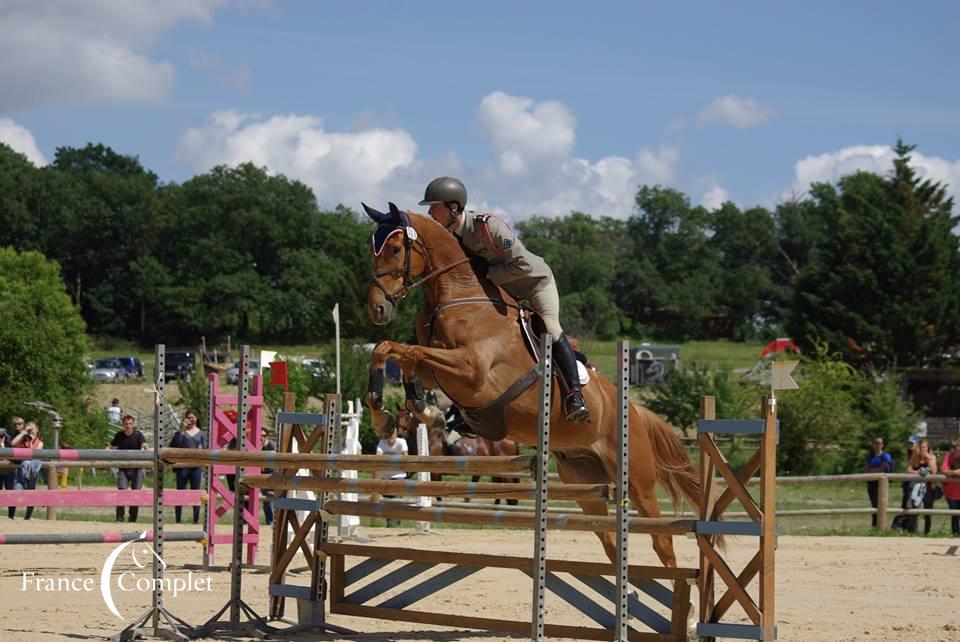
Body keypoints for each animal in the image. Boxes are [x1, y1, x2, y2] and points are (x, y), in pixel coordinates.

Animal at [364, 204, 700, 564]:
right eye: (372, 248)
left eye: (395, 248)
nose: (377, 308)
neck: (458, 296)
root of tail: (635, 410)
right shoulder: (436, 367)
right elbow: (394, 351)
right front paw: (399, 413)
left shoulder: (471, 369)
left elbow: (410, 352)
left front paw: (407, 412)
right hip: (583, 481)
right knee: (609, 538)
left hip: (637, 479)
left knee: (661, 540)